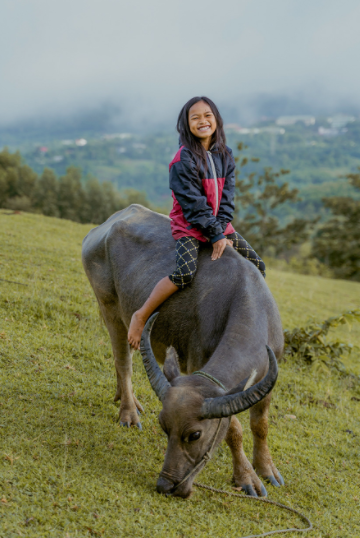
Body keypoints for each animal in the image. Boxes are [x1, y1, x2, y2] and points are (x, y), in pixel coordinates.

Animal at [81, 203, 284, 496]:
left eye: (194, 434)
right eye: (165, 427)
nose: (166, 484)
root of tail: (104, 226)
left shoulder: (269, 372)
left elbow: (261, 425)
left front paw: (267, 470)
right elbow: (234, 431)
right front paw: (247, 477)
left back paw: (126, 399)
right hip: (109, 306)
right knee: (123, 361)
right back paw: (129, 412)